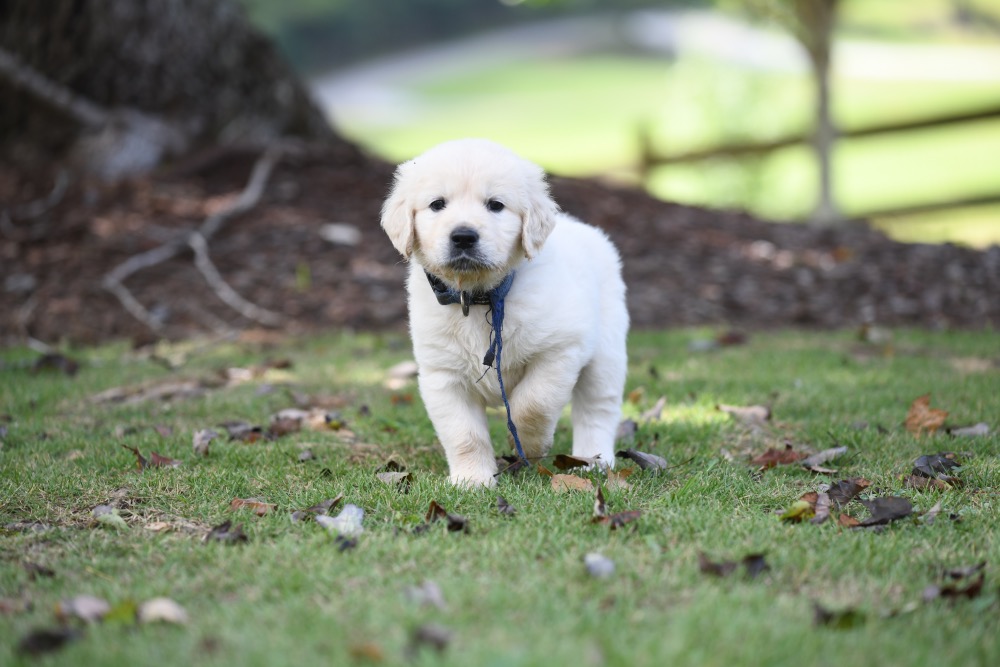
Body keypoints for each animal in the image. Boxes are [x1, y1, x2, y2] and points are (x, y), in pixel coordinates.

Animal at [380, 138, 624, 488]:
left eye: (495, 205)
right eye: (437, 204)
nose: (463, 236)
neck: (481, 297)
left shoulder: (561, 349)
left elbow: (534, 404)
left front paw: (529, 445)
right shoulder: (442, 374)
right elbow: (464, 434)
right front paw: (472, 480)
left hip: (606, 353)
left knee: (598, 408)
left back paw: (593, 460)